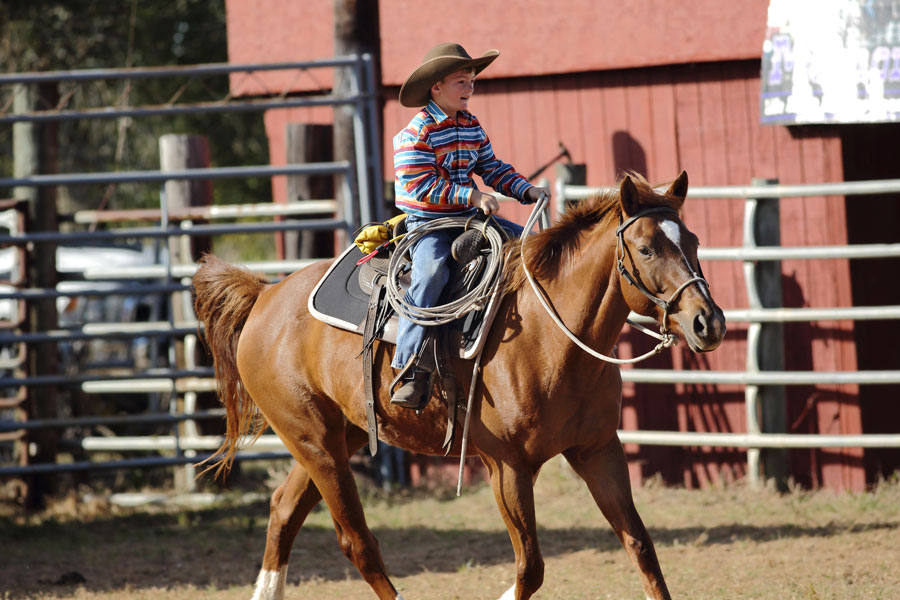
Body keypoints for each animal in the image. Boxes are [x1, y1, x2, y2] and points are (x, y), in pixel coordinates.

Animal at [195, 171, 724, 596]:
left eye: (695, 241)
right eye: (647, 248)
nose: (709, 323)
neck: (549, 334)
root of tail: (265, 297)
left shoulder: (599, 450)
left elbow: (640, 546)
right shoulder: (507, 468)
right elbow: (530, 568)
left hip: (336, 437)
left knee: (284, 510)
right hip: (314, 441)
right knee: (356, 542)